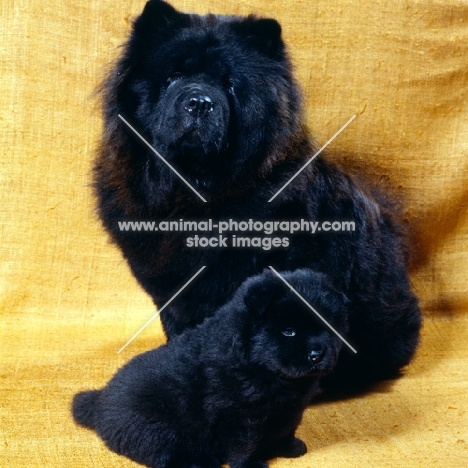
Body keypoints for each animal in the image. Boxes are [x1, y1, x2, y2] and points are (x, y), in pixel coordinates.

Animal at [73, 268, 350, 466]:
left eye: (328, 327)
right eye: (289, 331)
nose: (317, 353)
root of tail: (100, 401)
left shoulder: (291, 408)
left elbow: (287, 427)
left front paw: (289, 447)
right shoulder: (240, 414)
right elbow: (245, 445)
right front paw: (251, 465)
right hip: (157, 429)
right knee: (165, 455)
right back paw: (200, 462)